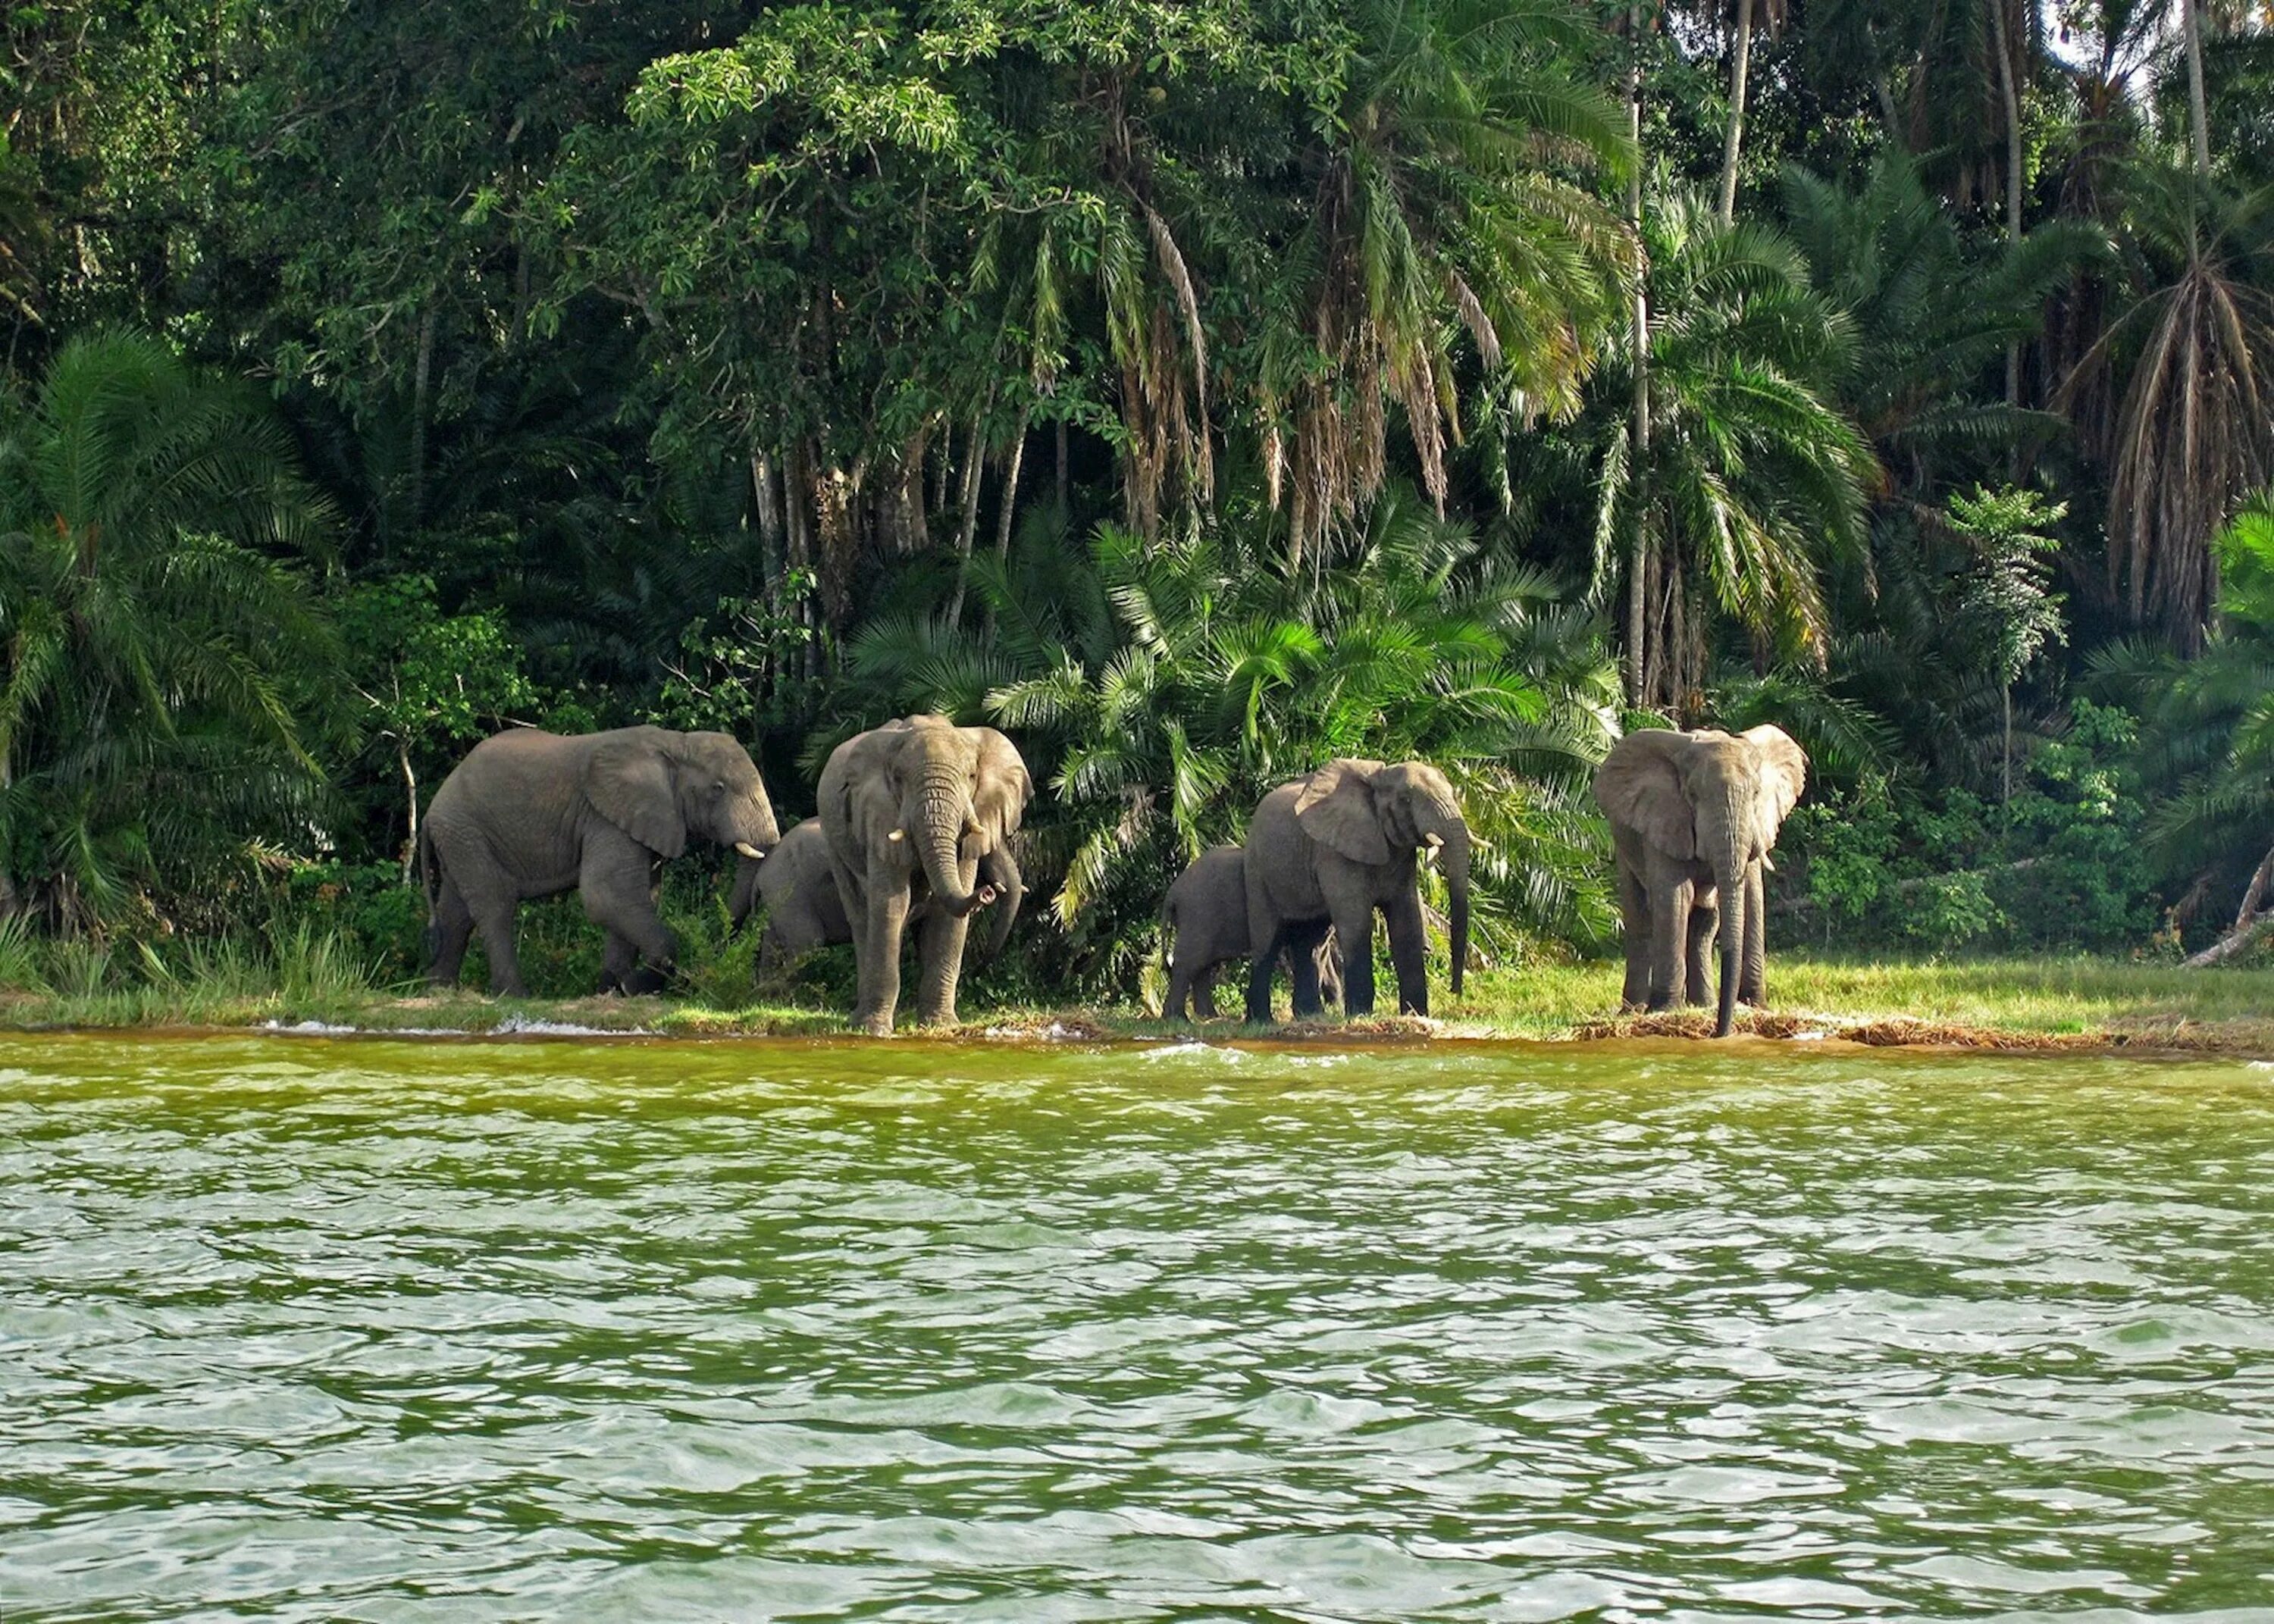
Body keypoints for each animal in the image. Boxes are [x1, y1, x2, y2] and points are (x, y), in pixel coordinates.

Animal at [418, 723, 782, 1000]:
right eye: (718, 789)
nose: (702, 974)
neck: (675, 743)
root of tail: (432, 807)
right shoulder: (605, 817)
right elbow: (606, 895)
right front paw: (632, 986)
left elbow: (638, 898)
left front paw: (613, 989)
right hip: (466, 829)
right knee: (495, 905)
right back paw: (515, 995)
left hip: (460, 837)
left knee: (456, 913)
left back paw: (439, 992)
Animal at [732, 814, 1019, 968]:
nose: (988, 892)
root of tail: (761, 875)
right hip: (788, 891)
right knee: (807, 942)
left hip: (776, 898)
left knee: (771, 946)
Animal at [1164, 841, 1337, 1019]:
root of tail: (1172, 893)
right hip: (1198, 916)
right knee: (1191, 961)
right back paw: (1179, 1018)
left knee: (1202, 965)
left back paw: (1208, 1016)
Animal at [1246, 755, 1474, 1009]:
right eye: (1405, 799)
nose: (1455, 992)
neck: (1377, 778)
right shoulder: (1335, 851)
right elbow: (1356, 923)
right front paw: (1360, 1013)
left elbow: (1407, 923)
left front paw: (1416, 1013)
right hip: (1257, 868)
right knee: (1267, 939)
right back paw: (1262, 1016)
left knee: (1312, 942)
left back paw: (1309, 1014)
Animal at [1592, 723, 1801, 1032]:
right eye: (1692, 795)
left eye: (1756, 793)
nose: (1720, 1034)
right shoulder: (1664, 818)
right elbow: (1675, 898)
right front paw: (1665, 1010)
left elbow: (1752, 895)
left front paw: (1755, 1006)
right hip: (1624, 844)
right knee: (1640, 918)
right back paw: (1634, 1011)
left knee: (1704, 921)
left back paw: (1703, 1004)